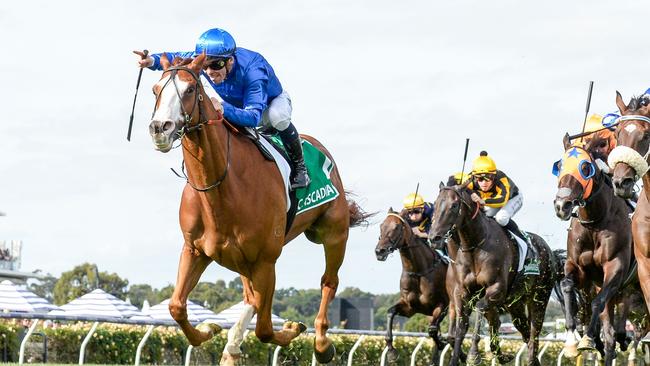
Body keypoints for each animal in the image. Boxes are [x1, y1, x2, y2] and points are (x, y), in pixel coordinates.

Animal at [147, 54, 370, 364]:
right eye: (156, 90)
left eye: (190, 89)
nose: (160, 128)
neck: (222, 188)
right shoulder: (195, 250)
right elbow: (176, 306)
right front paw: (210, 329)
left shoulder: (266, 260)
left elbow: (265, 328)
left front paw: (292, 328)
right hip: (241, 260)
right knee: (249, 297)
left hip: (332, 234)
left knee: (329, 281)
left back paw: (322, 344)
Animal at [374, 209, 450, 366]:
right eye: (381, 226)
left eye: (397, 227)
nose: (380, 251)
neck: (419, 271)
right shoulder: (410, 307)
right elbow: (390, 312)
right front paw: (391, 352)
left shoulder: (443, 305)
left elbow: (432, 330)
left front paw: (442, 343)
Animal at [426, 184, 556, 366]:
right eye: (436, 205)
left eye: (454, 205)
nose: (434, 238)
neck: (474, 246)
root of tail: (548, 250)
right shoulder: (460, 293)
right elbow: (460, 328)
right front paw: (456, 359)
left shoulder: (496, 289)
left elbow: (480, 307)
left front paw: (474, 354)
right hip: (515, 304)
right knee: (523, 330)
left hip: (539, 297)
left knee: (533, 332)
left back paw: (530, 358)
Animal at [548, 141, 632, 366]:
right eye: (559, 166)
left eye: (585, 167)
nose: (562, 205)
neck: (596, 222)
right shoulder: (577, 267)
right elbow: (567, 285)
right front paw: (571, 340)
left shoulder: (615, 266)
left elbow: (597, 302)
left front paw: (587, 339)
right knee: (611, 335)